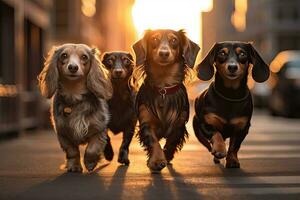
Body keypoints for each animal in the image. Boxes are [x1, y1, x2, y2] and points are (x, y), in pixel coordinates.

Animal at [37, 43, 112, 172]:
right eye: (64, 55)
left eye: (84, 57)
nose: (73, 67)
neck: (74, 94)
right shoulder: (63, 133)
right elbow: (72, 152)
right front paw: (74, 166)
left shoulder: (98, 129)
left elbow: (92, 149)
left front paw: (90, 163)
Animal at [133, 28, 199, 171]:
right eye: (154, 39)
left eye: (174, 40)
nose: (164, 53)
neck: (163, 88)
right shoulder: (146, 122)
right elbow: (153, 141)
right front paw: (157, 160)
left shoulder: (179, 123)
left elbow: (172, 141)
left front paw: (166, 156)